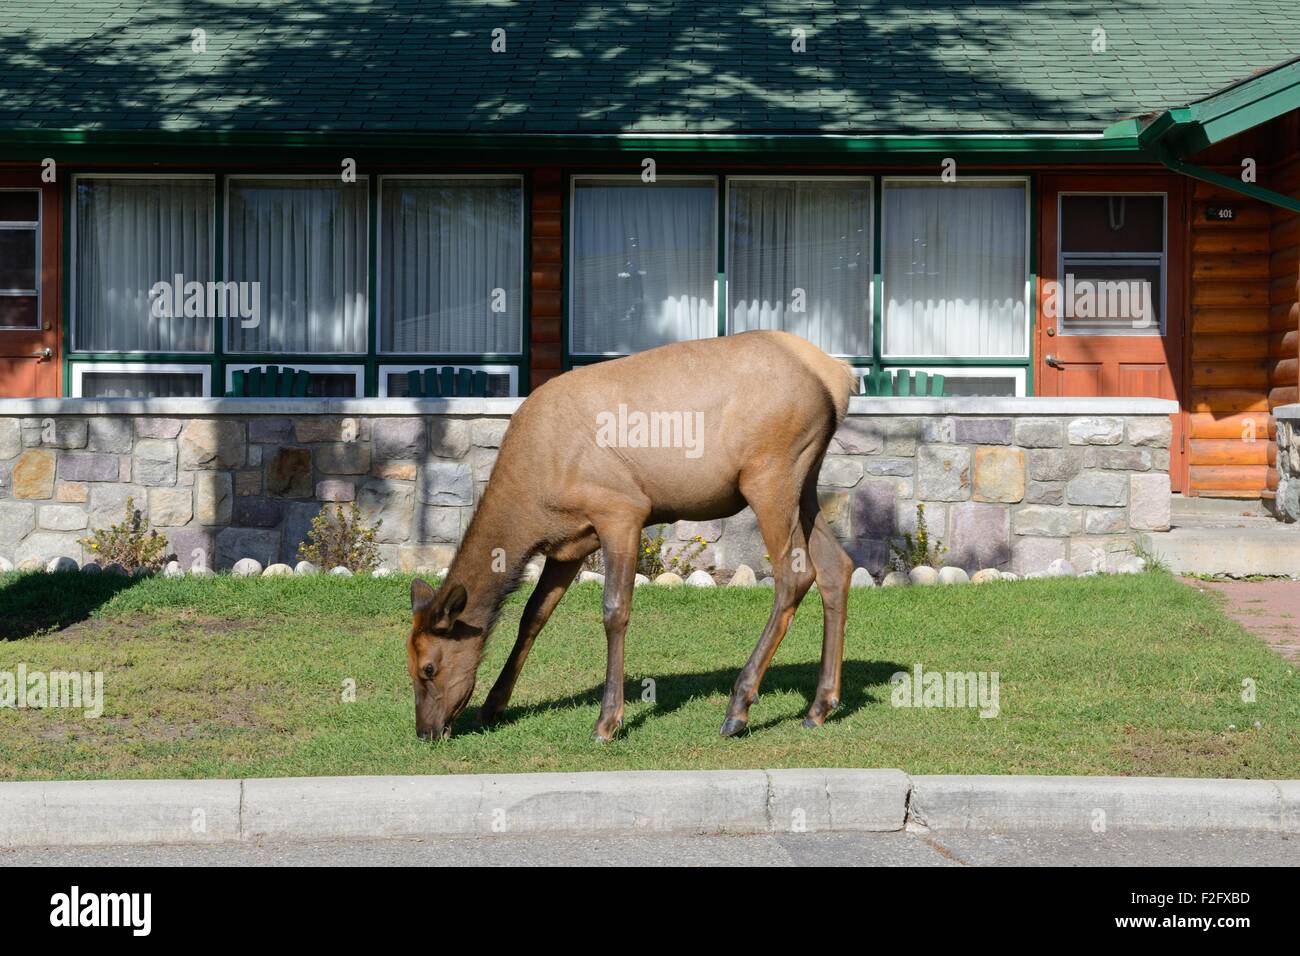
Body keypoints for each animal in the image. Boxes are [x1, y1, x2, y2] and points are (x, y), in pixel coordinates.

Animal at [405, 332, 852, 743]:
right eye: (407, 665)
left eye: (429, 668)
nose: (425, 732)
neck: (531, 507)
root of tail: (838, 375)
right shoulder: (568, 545)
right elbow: (533, 615)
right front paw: (494, 705)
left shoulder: (621, 511)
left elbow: (614, 610)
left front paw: (607, 721)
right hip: (805, 479)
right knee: (837, 566)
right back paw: (820, 706)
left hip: (768, 474)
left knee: (795, 575)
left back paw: (738, 708)